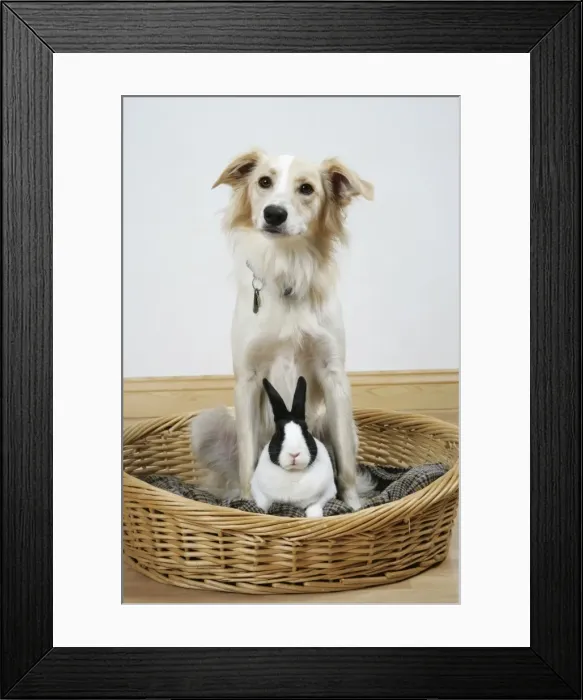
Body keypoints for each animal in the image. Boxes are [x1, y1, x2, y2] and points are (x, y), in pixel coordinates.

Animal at [251, 376, 337, 517]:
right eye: (278, 432)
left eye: (306, 430)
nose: (294, 454)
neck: (294, 472)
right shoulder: (256, 488)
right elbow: (263, 504)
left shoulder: (330, 490)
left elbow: (317, 503)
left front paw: (314, 515)